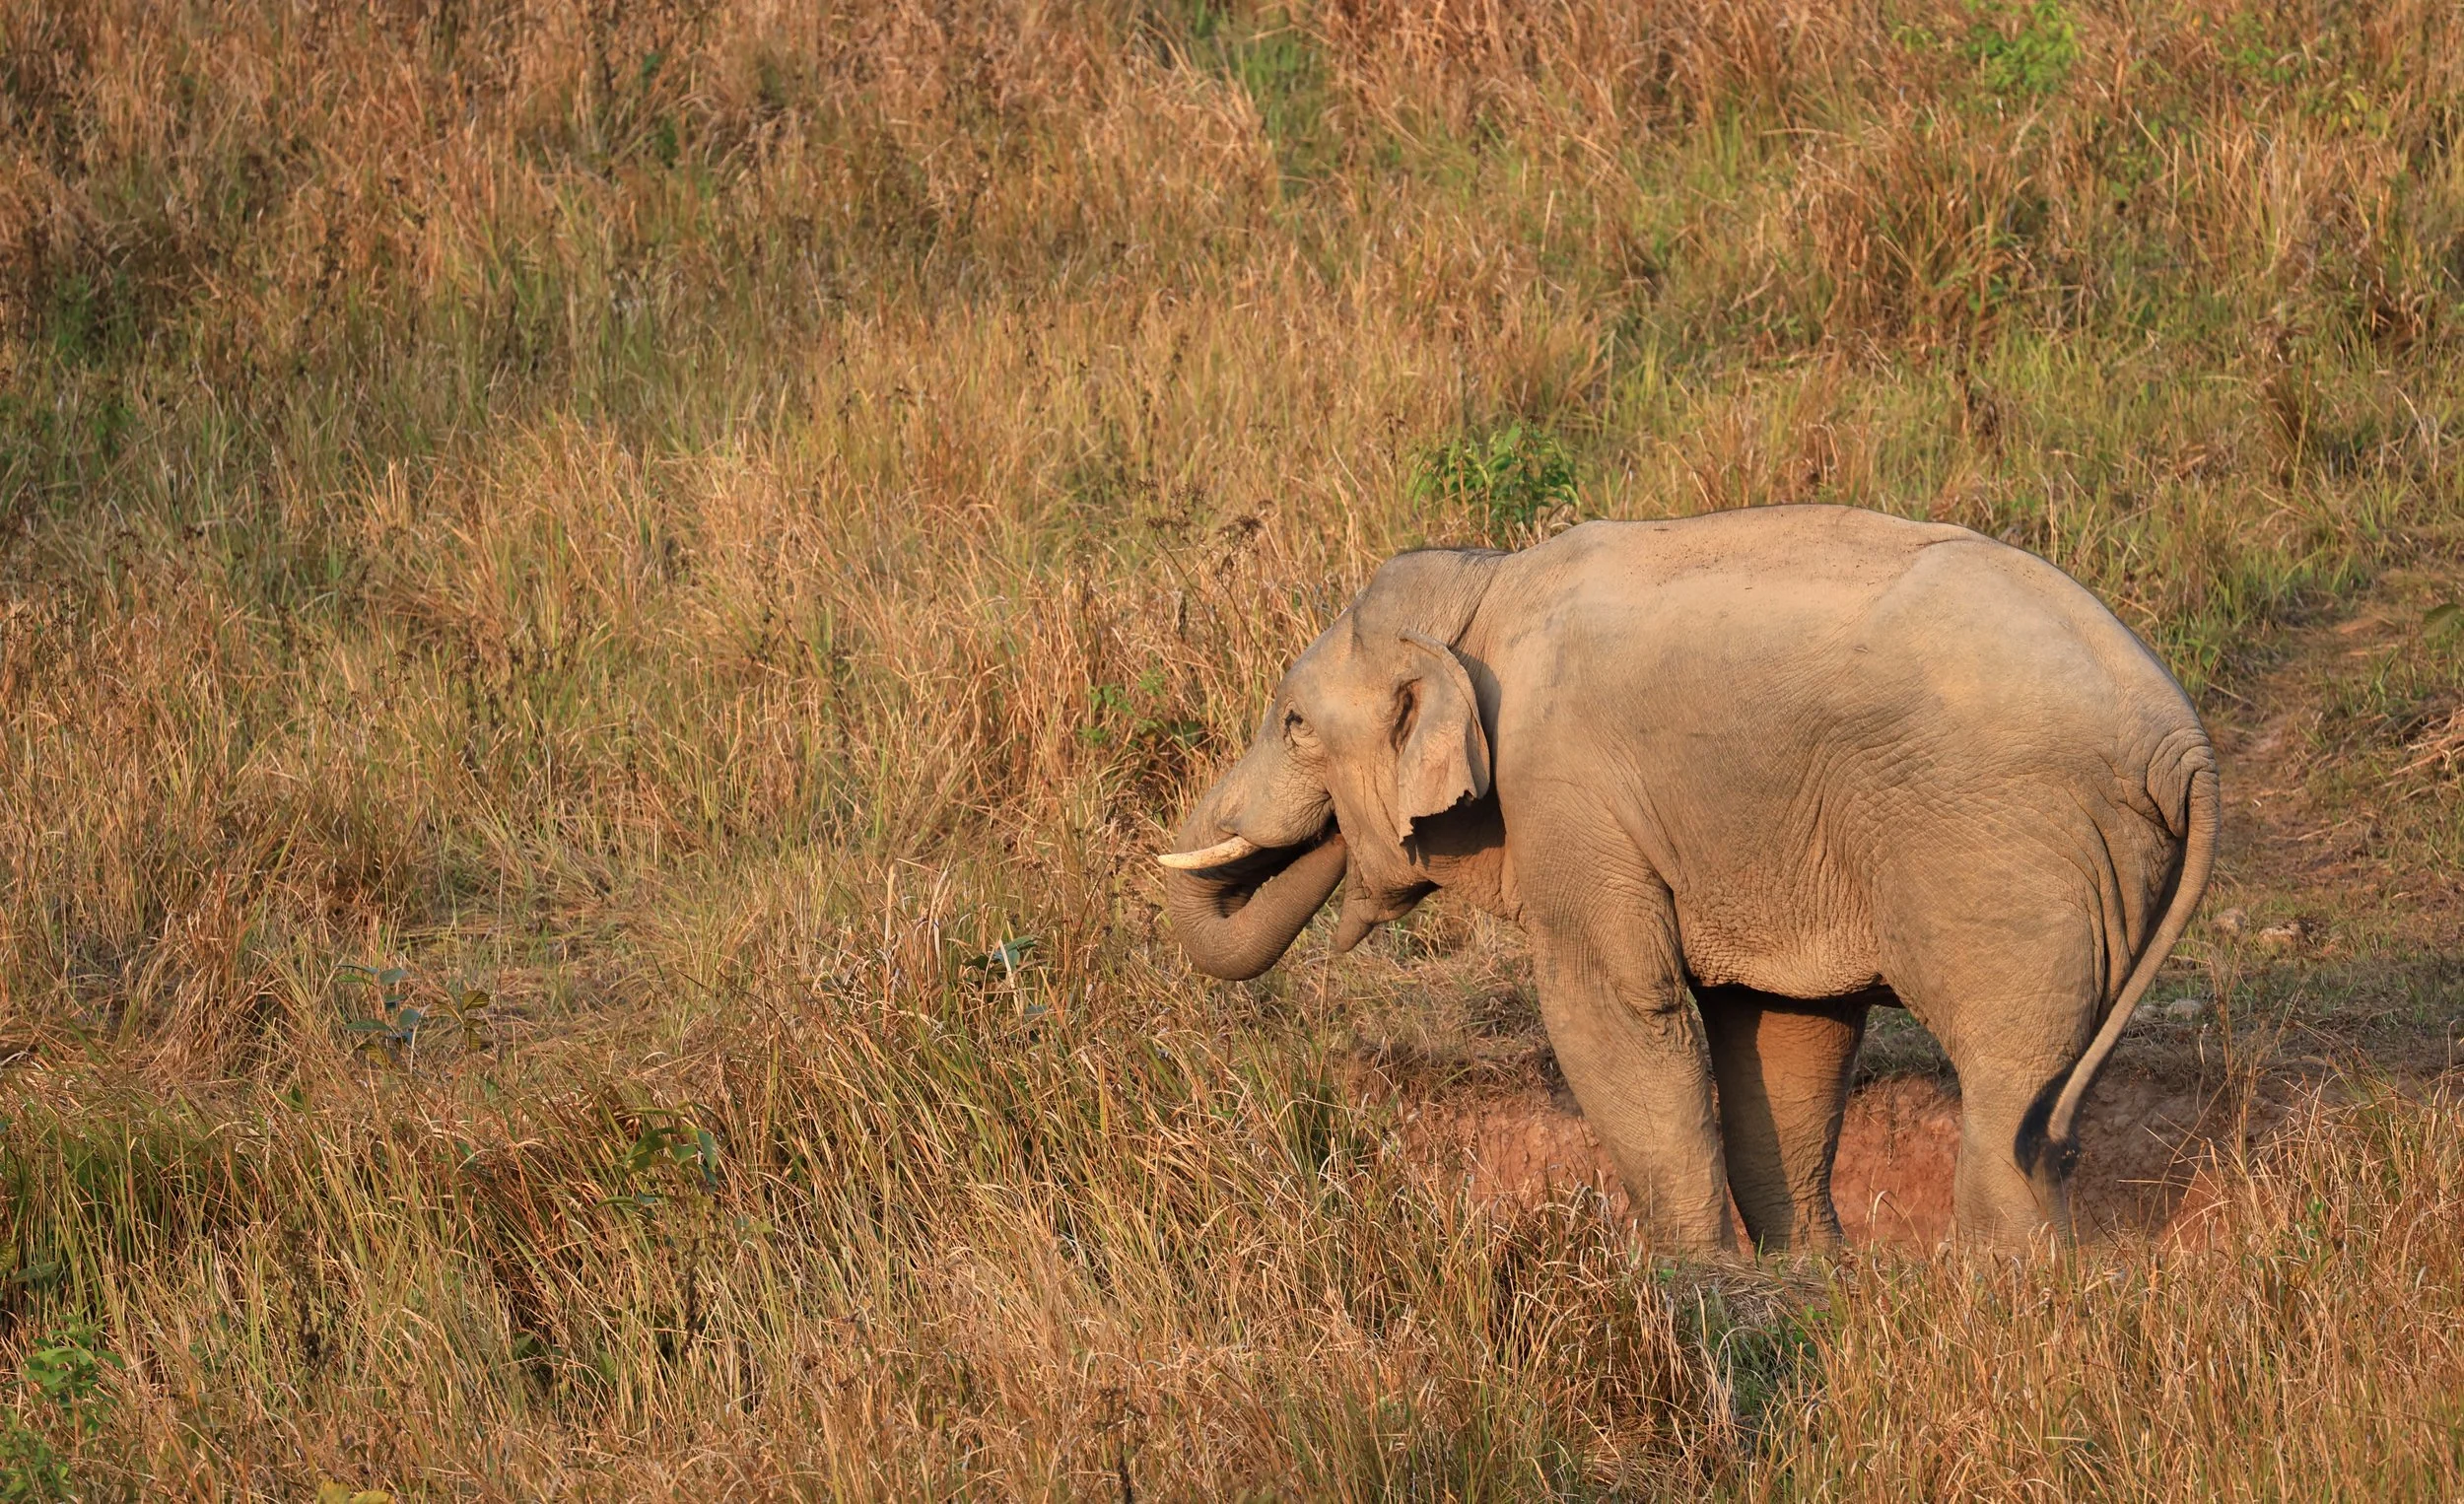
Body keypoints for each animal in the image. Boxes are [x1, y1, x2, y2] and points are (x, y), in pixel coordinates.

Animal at [1156, 505, 2217, 1253]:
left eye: (1295, 724)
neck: (1484, 586)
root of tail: (2182, 742)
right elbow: (1787, 1033)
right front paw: (1805, 1275)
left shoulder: (1566, 793)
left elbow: (1616, 1009)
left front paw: (1689, 1271)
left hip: (2000, 850)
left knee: (2010, 1082)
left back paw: (2006, 1284)